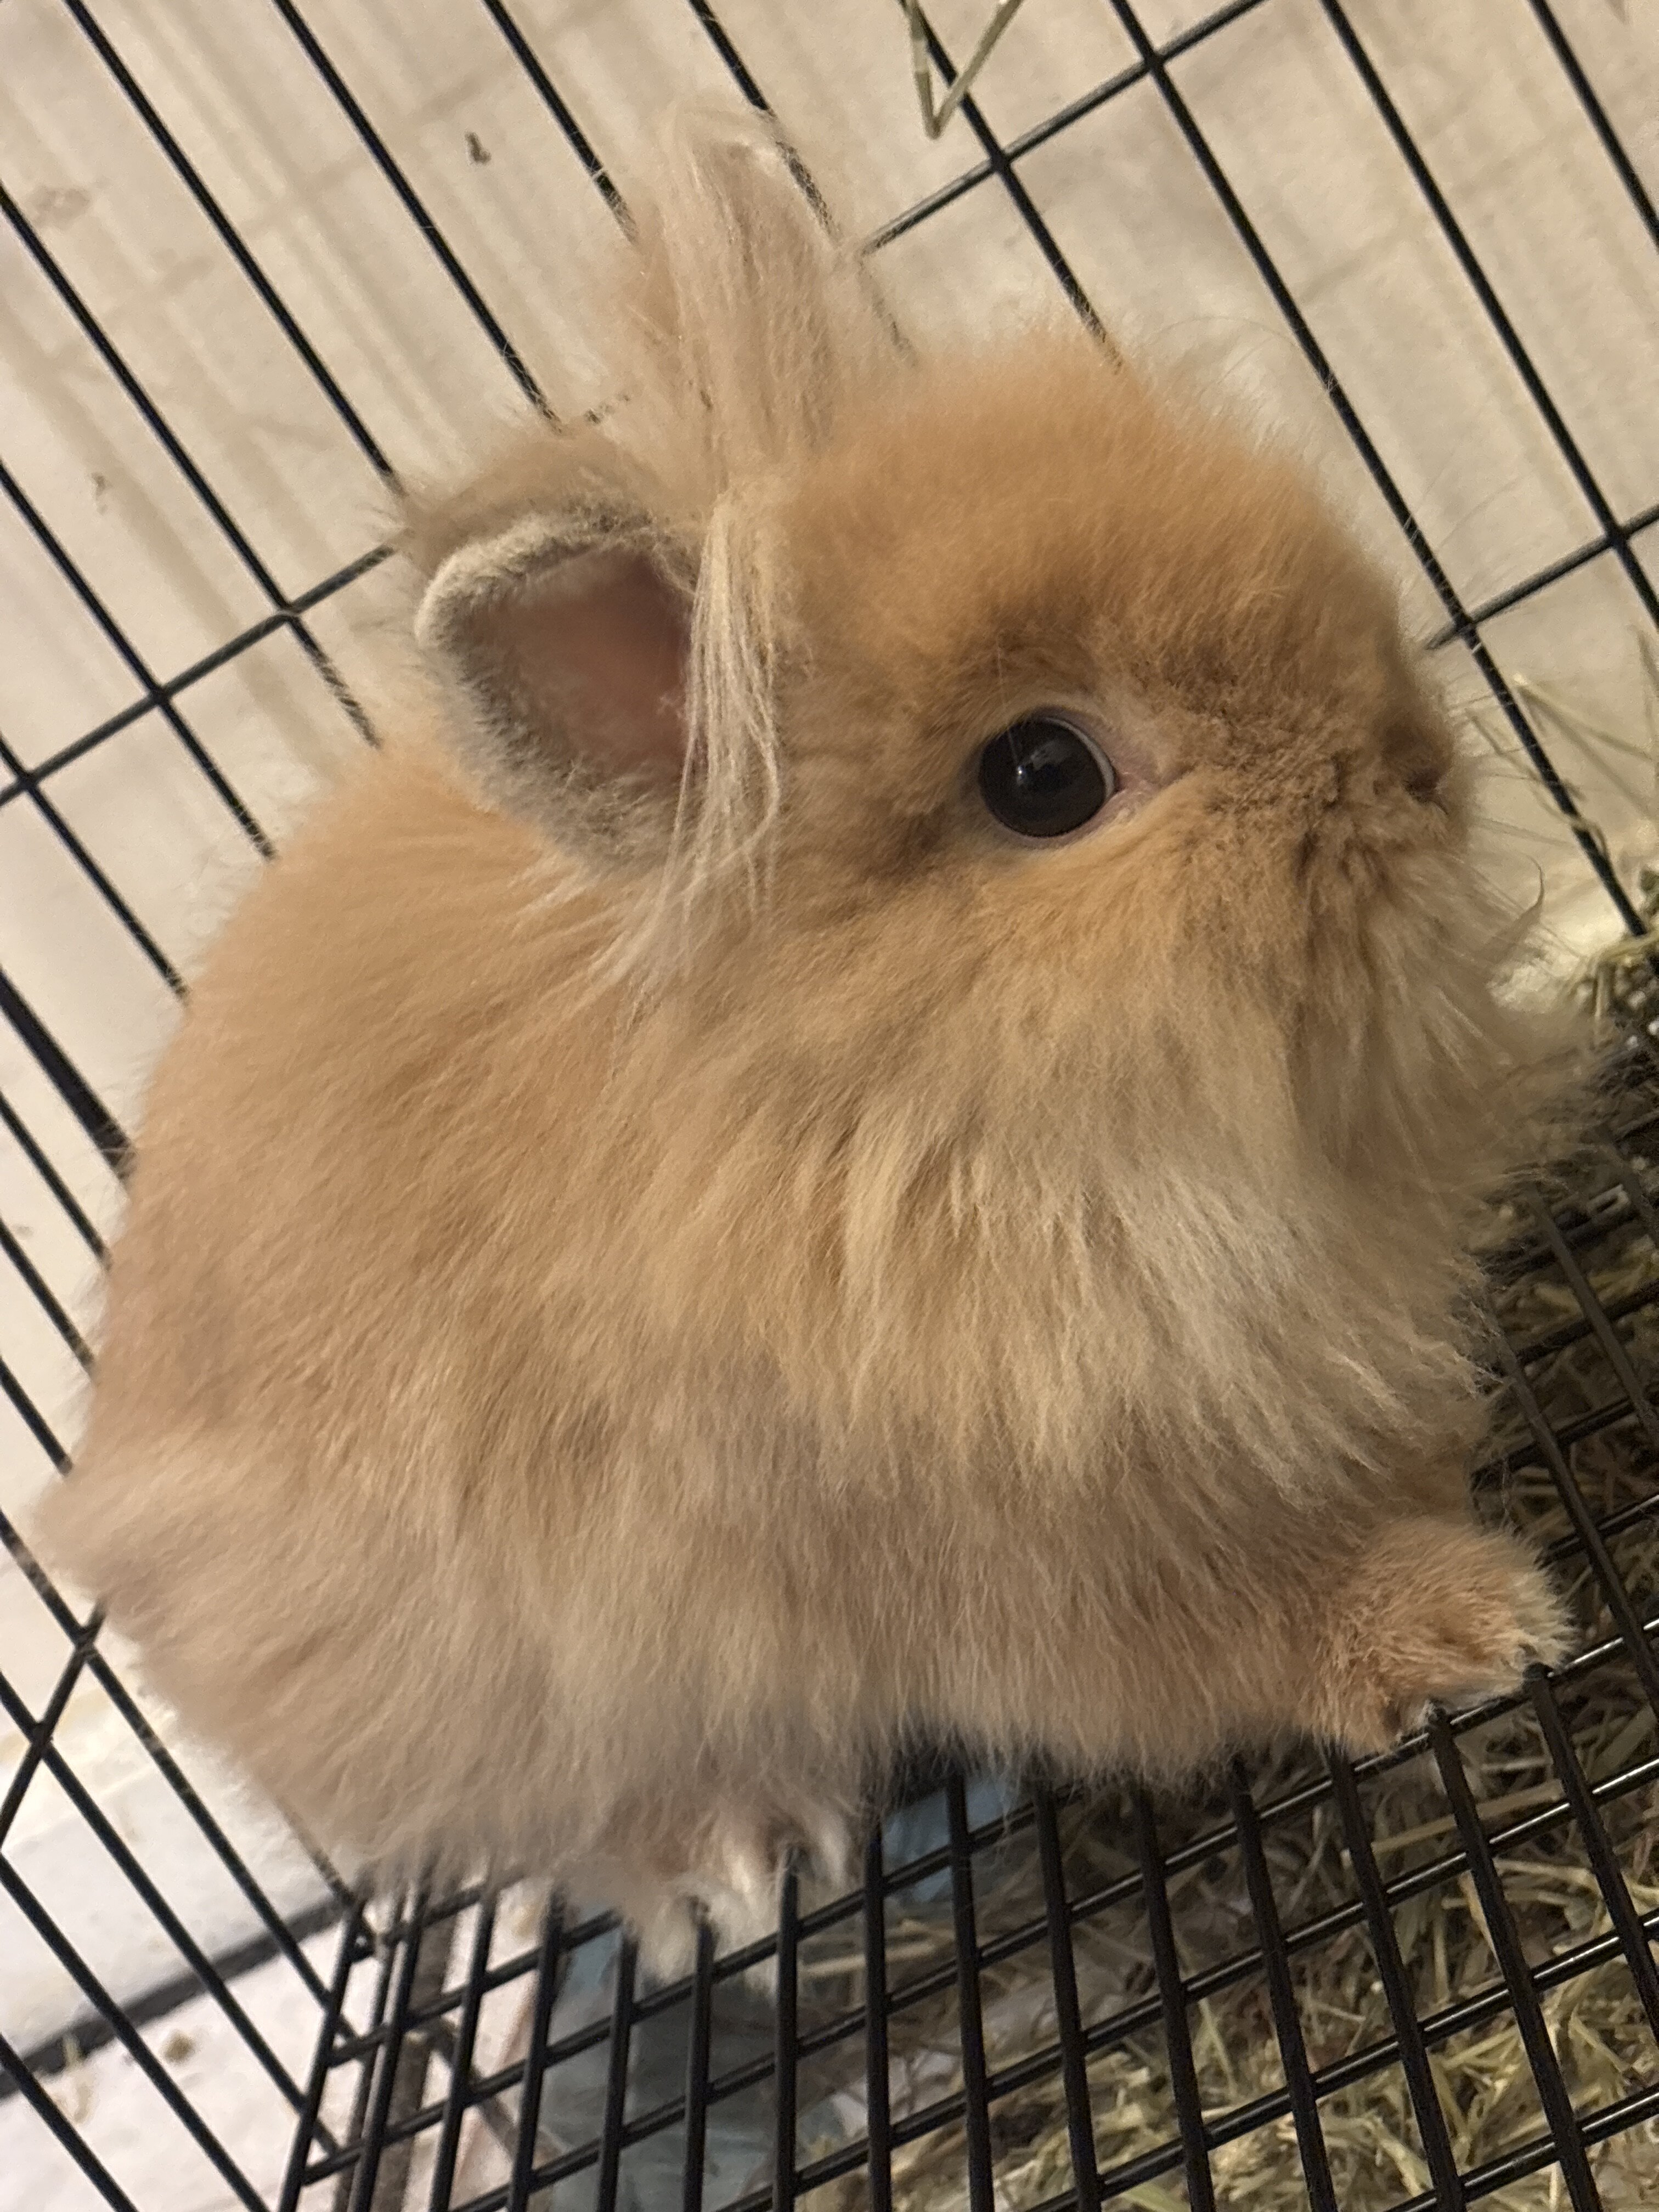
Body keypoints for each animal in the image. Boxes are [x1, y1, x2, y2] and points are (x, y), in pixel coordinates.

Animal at [34, 109, 1581, 1980]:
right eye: (1044, 778)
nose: (1420, 770)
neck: (891, 1107)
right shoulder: (1020, 1549)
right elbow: (1232, 1628)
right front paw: (1471, 1625)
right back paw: (737, 1858)